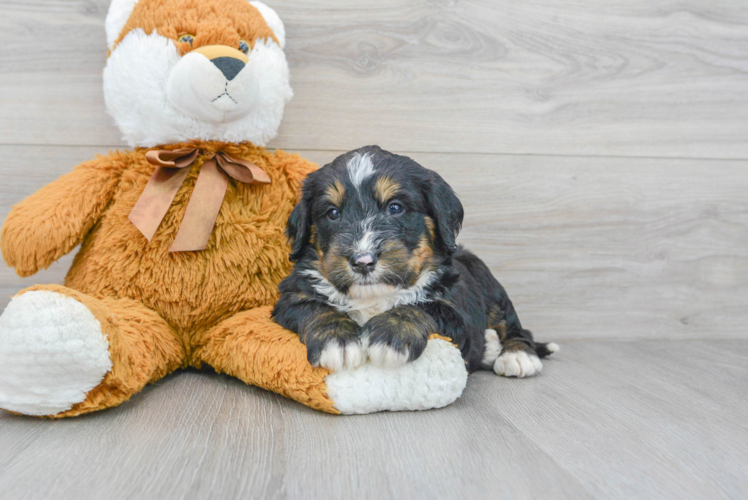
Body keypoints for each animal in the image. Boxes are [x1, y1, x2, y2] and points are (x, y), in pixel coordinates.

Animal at [272, 146, 560, 376]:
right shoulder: (289, 298)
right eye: (333, 213)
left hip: (490, 285)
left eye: (395, 207)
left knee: (514, 327)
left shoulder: (459, 314)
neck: (373, 297)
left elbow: (424, 305)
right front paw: (337, 340)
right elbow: (314, 307)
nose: (362, 261)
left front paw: (392, 334)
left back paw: (516, 355)